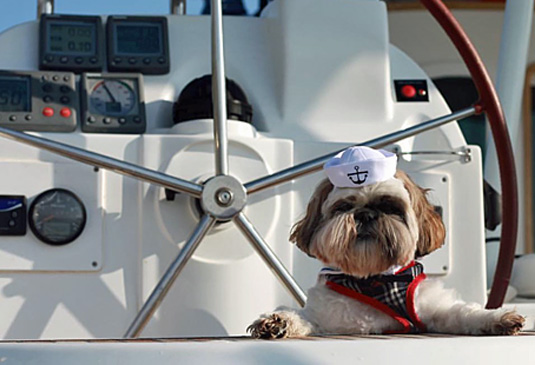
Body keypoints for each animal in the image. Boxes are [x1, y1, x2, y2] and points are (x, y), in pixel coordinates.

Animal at [249, 146, 524, 338]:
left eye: (390, 207)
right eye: (344, 206)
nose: (365, 214)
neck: (375, 278)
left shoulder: (434, 309)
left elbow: (464, 313)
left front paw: (497, 318)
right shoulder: (325, 317)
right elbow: (302, 317)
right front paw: (277, 321)